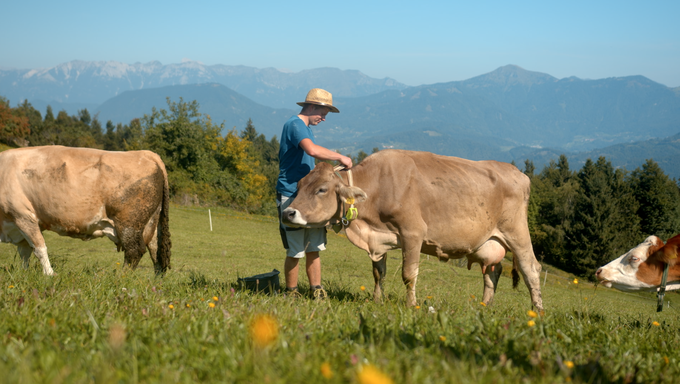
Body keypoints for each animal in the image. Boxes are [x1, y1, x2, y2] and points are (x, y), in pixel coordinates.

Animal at [0, 146, 170, 274]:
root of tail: (146, 153)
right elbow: (25, 251)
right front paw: (24, 274)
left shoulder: (22, 215)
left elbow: (39, 248)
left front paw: (49, 274)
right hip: (152, 222)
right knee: (156, 250)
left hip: (129, 223)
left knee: (135, 251)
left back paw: (122, 278)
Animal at [280, 148, 540, 310]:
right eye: (300, 185)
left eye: (322, 189)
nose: (288, 213)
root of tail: (519, 173)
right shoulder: (380, 238)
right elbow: (378, 273)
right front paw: (377, 300)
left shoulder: (413, 233)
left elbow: (408, 274)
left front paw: (410, 305)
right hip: (490, 242)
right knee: (492, 272)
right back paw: (485, 306)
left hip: (517, 233)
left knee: (531, 270)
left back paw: (537, 311)